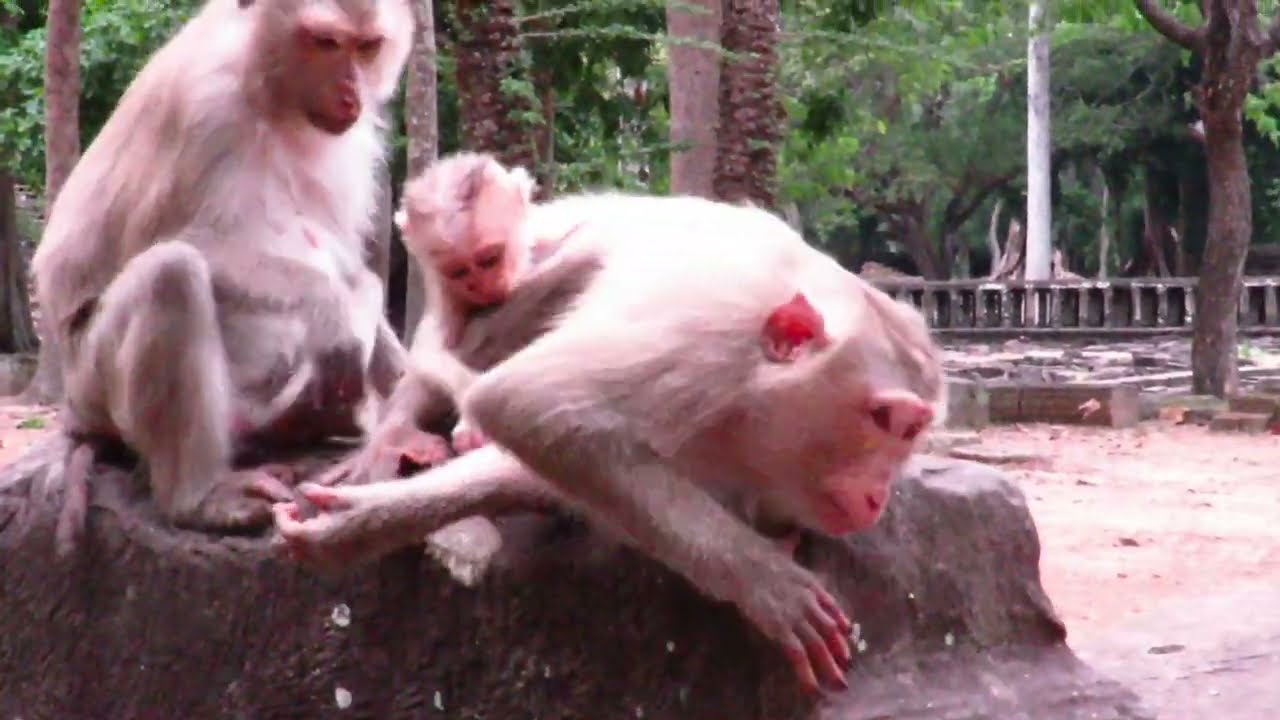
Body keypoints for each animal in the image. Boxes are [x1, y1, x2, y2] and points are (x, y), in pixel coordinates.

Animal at [30, 0, 414, 536]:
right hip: (92, 386)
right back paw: (197, 498)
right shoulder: (204, 106)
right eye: (324, 42)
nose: (350, 92)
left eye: (367, 46)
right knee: (171, 275)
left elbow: (339, 249)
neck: (267, 87)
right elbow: (170, 239)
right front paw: (332, 305)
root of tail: (73, 413)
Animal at [272, 193, 946, 693]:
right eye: (886, 420)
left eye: (913, 434)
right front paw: (764, 582)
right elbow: (531, 403)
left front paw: (359, 522)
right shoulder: (699, 340)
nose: (879, 496)